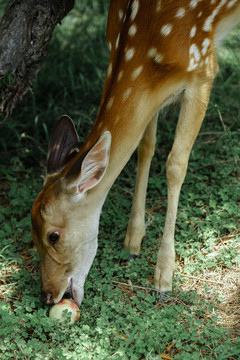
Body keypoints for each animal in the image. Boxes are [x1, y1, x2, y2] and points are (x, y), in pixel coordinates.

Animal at [31, 0, 239, 306]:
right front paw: (132, 241)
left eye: (53, 235)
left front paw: (163, 277)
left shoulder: (203, 68)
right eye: (31, 232)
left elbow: (176, 165)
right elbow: (146, 146)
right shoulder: (151, 93)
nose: (48, 295)